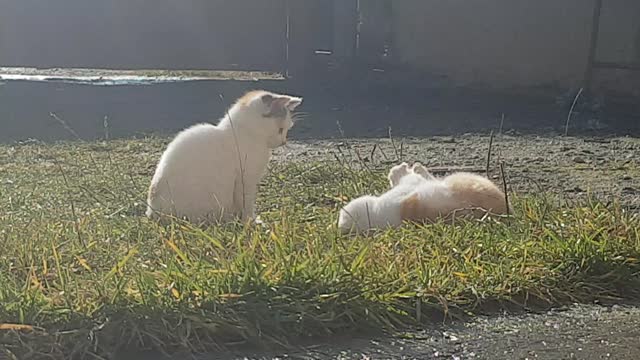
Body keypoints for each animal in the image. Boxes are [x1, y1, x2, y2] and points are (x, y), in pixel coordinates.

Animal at [148, 90, 302, 222]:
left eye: (286, 130)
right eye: (280, 130)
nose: (283, 142)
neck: (245, 132)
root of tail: (152, 213)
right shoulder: (245, 181)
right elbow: (247, 205)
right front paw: (250, 221)